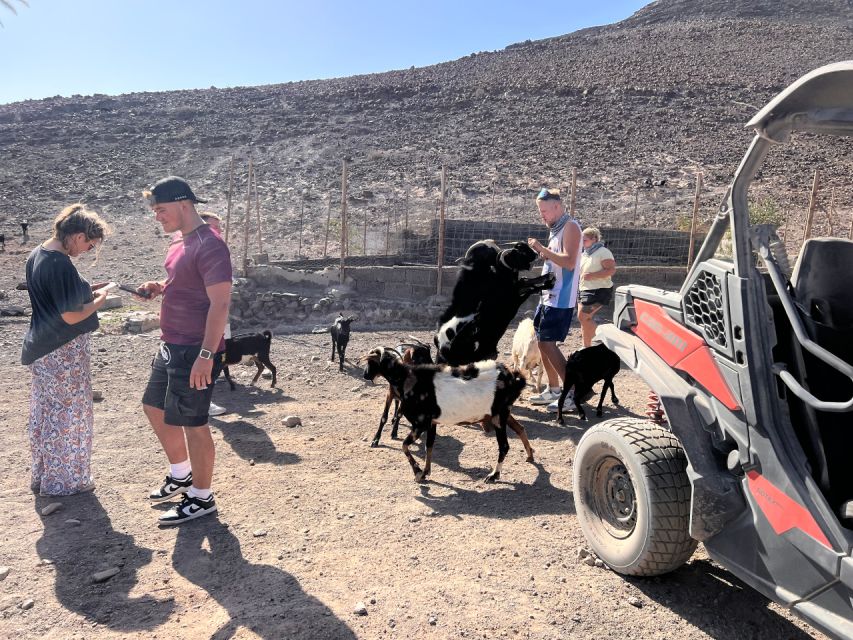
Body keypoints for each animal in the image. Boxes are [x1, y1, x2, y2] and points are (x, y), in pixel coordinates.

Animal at [362, 348, 528, 482]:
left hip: (499, 416)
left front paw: (417, 472)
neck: (407, 379)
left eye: (370, 361)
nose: (365, 375)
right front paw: (425, 473)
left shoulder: (420, 423)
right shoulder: (431, 423)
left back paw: (493, 475)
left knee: (504, 446)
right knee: (518, 430)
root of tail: (515, 377)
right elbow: (429, 446)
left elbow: (404, 445)